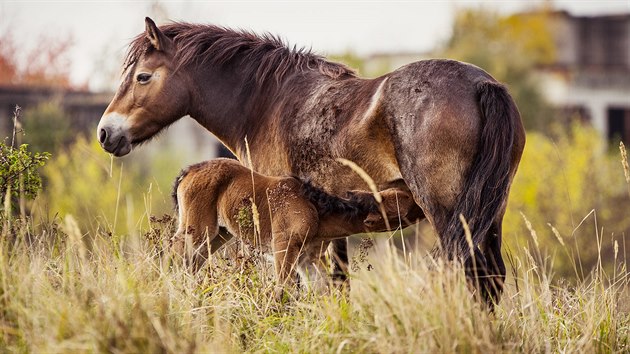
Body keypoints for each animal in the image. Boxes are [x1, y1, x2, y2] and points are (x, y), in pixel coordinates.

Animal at [170, 159, 418, 292]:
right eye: (404, 198)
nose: (419, 198)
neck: (316, 209)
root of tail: (190, 169)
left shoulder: (307, 259)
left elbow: (320, 291)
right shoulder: (284, 247)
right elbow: (283, 288)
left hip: (218, 235)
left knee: (191, 262)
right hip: (197, 229)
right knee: (174, 250)